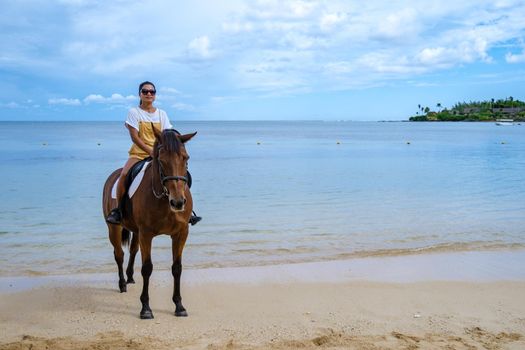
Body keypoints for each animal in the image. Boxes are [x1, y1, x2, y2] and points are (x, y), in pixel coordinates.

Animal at [101, 129, 195, 320]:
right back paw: (122, 284)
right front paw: (145, 308)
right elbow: (147, 268)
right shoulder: (146, 234)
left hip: (136, 232)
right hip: (114, 228)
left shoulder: (181, 233)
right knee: (119, 254)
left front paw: (179, 305)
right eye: (161, 160)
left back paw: (130, 277)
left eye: (185, 158)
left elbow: (177, 268)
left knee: (133, 250)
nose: (178, 202)